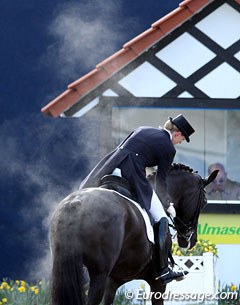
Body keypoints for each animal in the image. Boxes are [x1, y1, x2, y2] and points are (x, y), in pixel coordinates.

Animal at [48, 163, 218, 304]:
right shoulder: (157, 283)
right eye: (205, 202)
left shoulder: (113, 281)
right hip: (98, 274)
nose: (190, 240)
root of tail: (75, 203)